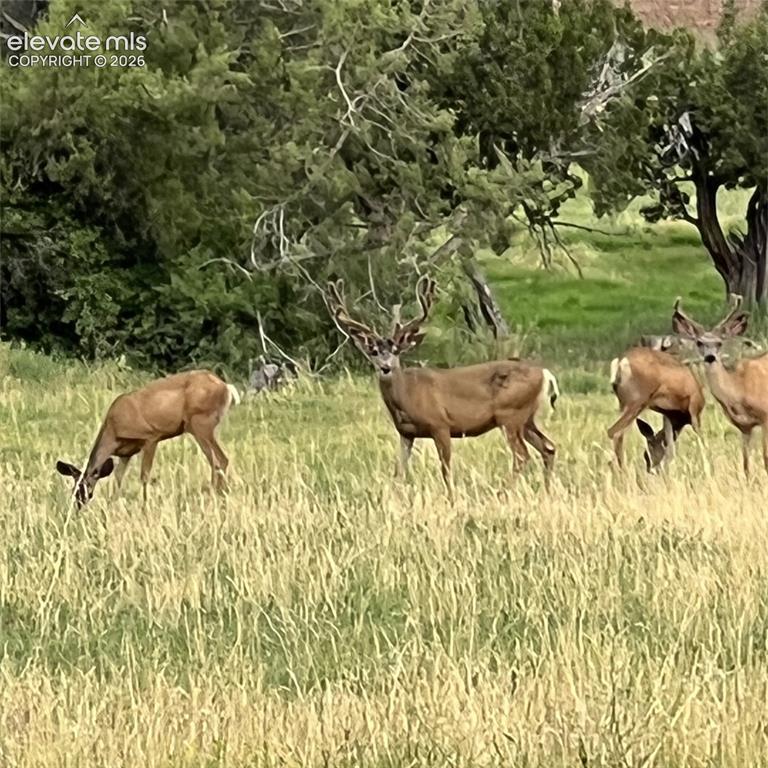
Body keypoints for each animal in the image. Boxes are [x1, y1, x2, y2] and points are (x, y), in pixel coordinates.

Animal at [55, 370, 240, 506]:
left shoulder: (151, 437)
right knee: (220, 460)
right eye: (73, 488)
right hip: (207, 427)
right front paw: (112, 503)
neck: (113, 430)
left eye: (83, 487)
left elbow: (144, 475)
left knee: (218, 461)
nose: (78, 504)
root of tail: (226, 387)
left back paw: (215, 496)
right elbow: (118, 478)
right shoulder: (126, 453)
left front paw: (144, 504)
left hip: (200, 424)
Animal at [324, 275, 559, 494]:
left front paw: (451, 498)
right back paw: (547, 491)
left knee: (522, 455)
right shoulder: (406, 433)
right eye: (373, 351)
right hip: (526, 418)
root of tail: (545, 373)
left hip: (510, 415)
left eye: (396, 351)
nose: (385, 367)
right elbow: (399, 471)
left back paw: (504, 492)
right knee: (548, 448)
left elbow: (445, 470)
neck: (408, 395)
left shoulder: (441, 424)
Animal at [608, 340, 705, 472]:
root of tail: (621, 362)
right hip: (636, 402)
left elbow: (670, 449)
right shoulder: (694, 409)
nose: (651, 470)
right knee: (615, 433)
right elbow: (701, 439)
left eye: (647, 452)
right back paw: (623, 471)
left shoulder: (668, 415)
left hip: (624, 404)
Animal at [672, 295, 768, 476]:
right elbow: (745, 465)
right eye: (699, 343)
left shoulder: (766, 416)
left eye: (719, 343)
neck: (740, 388)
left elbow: (765, 459)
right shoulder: (744, 427)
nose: (710, 357)